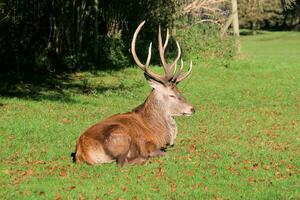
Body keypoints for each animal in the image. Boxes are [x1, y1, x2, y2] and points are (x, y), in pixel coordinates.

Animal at [74, 21, 195, 166]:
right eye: (171, 95)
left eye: (179, 91)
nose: (192, 109)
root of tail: (82, 152)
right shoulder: (148, 143)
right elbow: (165, 153)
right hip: (120, 136)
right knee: (121, 162)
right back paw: (144, 158)